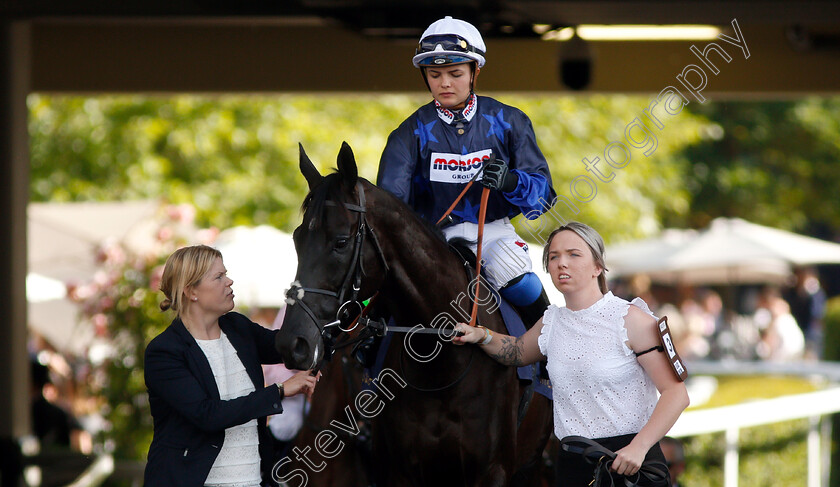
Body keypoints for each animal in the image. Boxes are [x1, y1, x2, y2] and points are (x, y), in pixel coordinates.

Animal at [274, 143, 552, 486]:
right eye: (297, 238)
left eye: (340, 242)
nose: (292, 343)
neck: (442, 366)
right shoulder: (399, 471)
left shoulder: (493, 471)